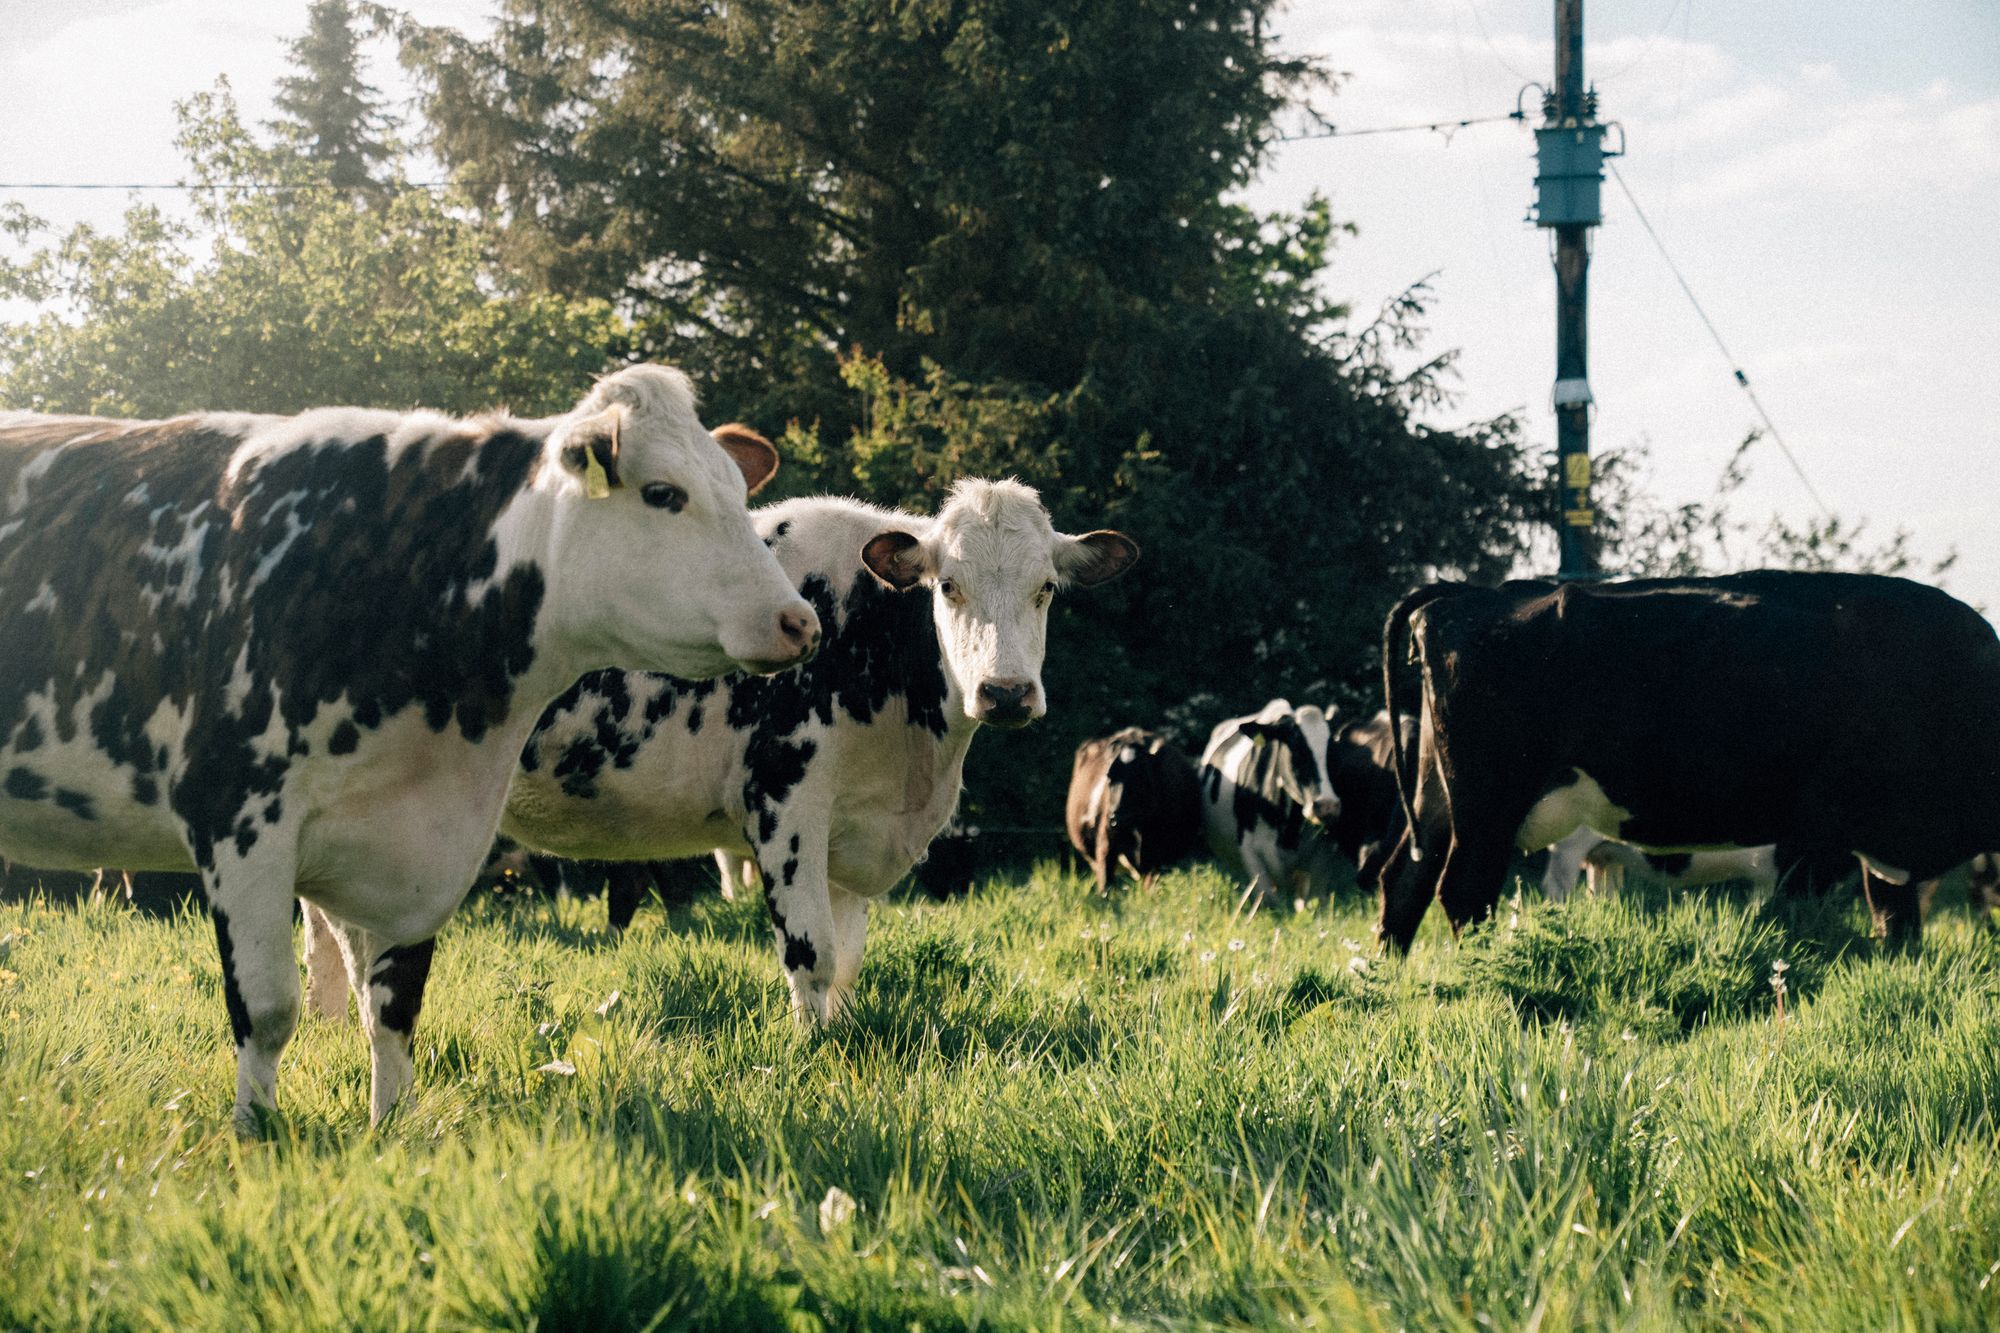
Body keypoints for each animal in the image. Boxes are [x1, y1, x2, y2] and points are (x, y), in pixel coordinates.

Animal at [0, 365, 819, 1131]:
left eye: (737, 491)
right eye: (662, 493)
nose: (799, 620)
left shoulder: (411, 849)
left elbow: (392, 1009)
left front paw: (390, 1126)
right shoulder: (236, 815)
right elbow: (267, 1009)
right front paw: (254, 1131)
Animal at [460, 480, 1136, 1024]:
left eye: (1045, 589)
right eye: (948, 586)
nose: (1006, 692)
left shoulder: (855, 829)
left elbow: (848, 959)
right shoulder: (784, 799)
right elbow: (813, 952)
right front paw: (814, 1054)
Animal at [1065, 728, 1202, 893]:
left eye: (1139, 777)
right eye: (1109, 776)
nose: (1115, 817)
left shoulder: (1160, 854)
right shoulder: (1106, 843)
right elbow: (1106, 882)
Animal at [1376, 571, 2000, 952]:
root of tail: (1466, 594)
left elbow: (1897, 929)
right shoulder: (1818, 842)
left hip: (1438, 799)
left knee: (1404, 881)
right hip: (1488, 805)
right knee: (1463, 892)